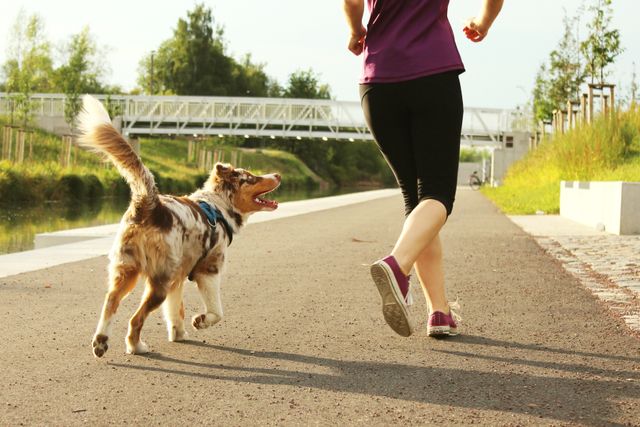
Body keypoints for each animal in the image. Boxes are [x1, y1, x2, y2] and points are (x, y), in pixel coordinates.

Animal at [77, 96, 280, 358]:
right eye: (252, 178)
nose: (277, 174)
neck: (219, 206)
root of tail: (149, 204)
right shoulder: (209, 269)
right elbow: (217, 312)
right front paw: (200, 321)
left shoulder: (179, 277)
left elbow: (175, 311)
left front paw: (178, 334)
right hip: (158, 280)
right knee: (135, 318)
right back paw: (135, 347)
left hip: (127, 269)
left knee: (110, 301)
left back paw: (101, 342)